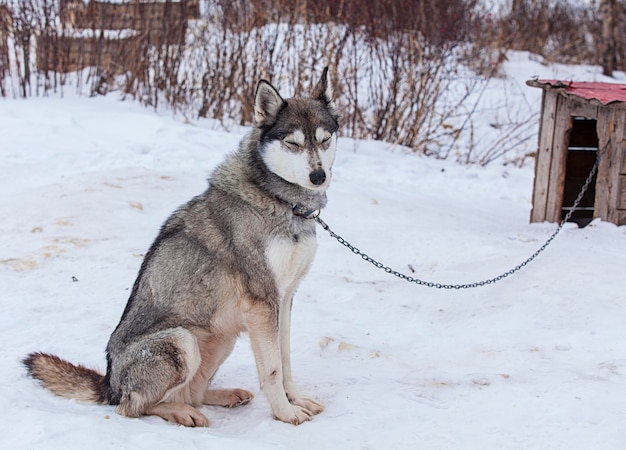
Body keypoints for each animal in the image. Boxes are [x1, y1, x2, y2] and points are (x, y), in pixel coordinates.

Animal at [23, 67, 336, 426]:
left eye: (324, 139)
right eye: (292, 143)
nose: (318, 176)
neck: (282, 201)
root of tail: (109, 383)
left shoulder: (284, 300)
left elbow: (285, 362)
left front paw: (296, 399)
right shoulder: (262, 303)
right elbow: (272, 370)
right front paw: (286, 413)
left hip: (223, 335)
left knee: (194, 392)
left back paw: (222, 396)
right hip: (181, 341)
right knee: (132, 407)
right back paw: (182, 413)